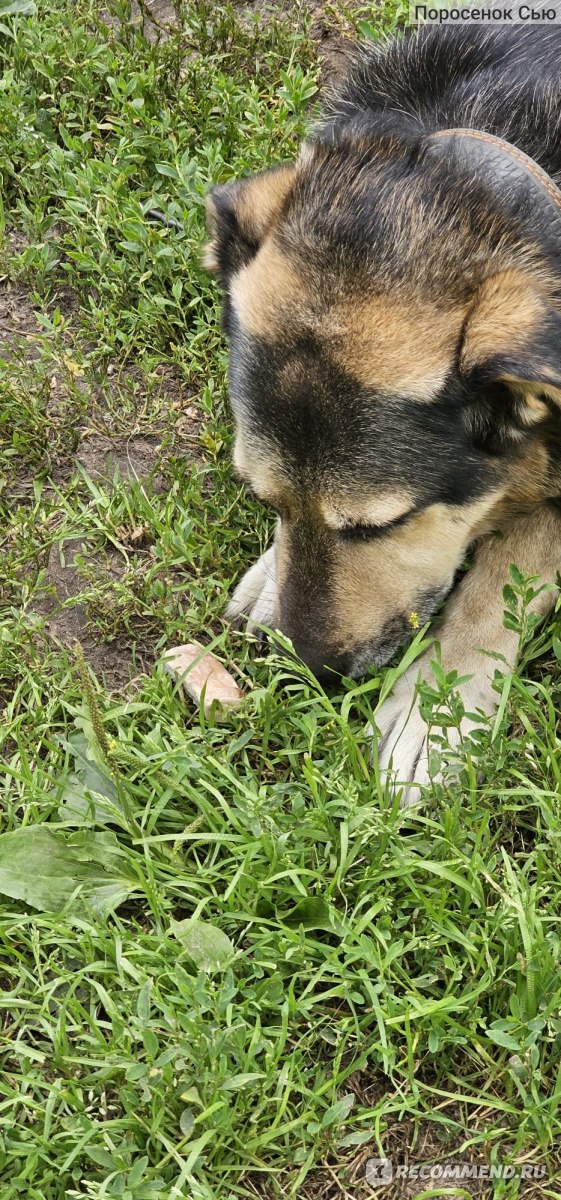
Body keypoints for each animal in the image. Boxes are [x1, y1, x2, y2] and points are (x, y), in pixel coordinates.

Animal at [203, 18, 561, 801]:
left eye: (383, 525)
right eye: (263, 499)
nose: (309, 672)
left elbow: (512, 565)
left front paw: (441, 708)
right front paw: (270, 579)